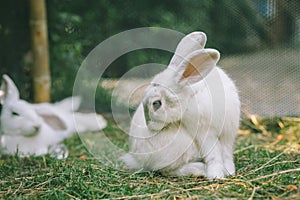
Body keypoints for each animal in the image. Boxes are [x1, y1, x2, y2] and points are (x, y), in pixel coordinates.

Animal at [120, 32, 240, 179]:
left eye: (156, 104)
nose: (149, 126)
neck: (191, 96)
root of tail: (138, 159)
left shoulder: (227, 134)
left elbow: (226, 154)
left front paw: (228, 171)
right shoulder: (205, 134)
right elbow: (213, 155)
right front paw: (215, 174)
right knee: (166, 169)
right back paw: (200, 169)